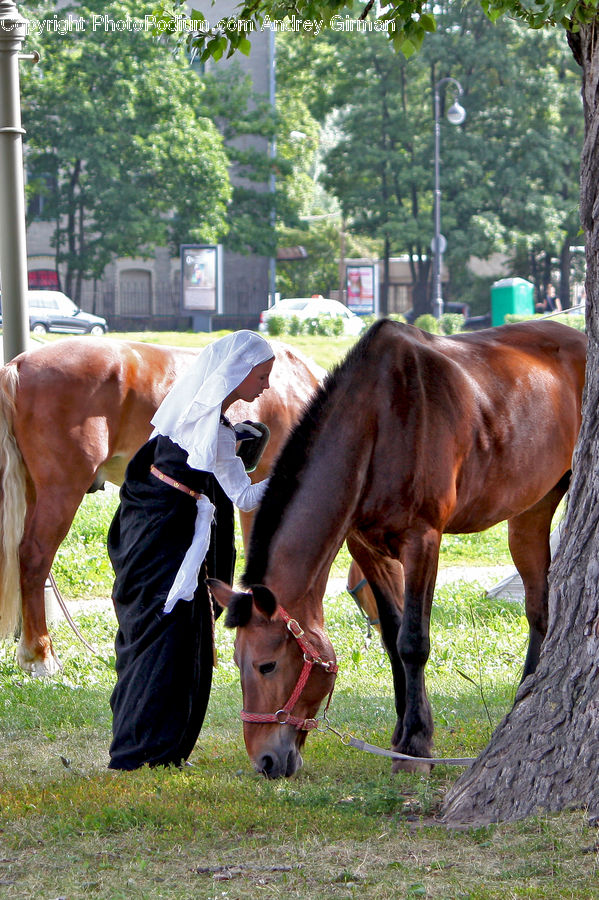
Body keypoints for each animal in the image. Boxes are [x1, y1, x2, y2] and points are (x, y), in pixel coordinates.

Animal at [209, 320, 588, 776]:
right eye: (236, 664)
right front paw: (400, 732)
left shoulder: (422, 540)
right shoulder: (365, 547)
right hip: (530, 513)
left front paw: (415, 745)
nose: (264, 761)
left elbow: (413, 641)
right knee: (538, 608)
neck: (379, 420)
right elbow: (391, 638)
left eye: (267, 665)